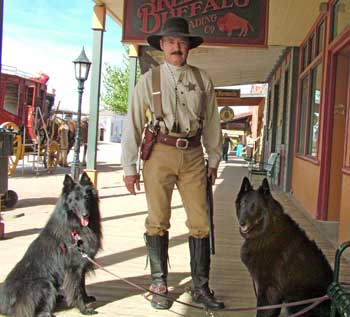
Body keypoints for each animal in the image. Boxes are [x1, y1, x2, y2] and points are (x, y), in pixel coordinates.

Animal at [0, 173, 101, 316]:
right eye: (75, 199)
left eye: (86, 197)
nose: (85, 214)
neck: (75, 228)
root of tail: (4, 304)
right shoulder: (74, 268)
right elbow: (76, 290)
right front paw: (84, 309)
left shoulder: (81, 265)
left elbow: (82, 285)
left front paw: (87, 299)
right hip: (46, 284)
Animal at [235, 177, 334, 316]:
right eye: (243, 204)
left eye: (254, 207)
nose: (242, 222)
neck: (266, 232)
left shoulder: (269, 287)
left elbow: (263, 310)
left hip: (298, 300)